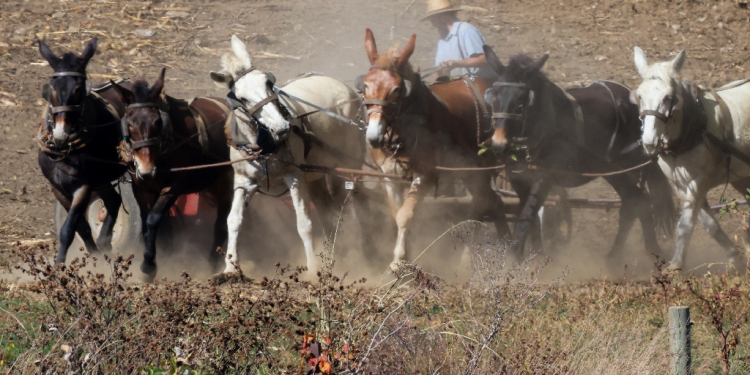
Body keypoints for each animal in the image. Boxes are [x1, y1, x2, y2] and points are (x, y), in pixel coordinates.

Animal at [111, 69, 234, 278]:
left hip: (227, 182)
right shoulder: (141, 189)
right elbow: (146, 223)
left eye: (157, 122)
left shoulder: (174, 186)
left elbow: (153, 219)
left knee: (221, 226)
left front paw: (149, 266)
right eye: (130, 123)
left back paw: (212, 266)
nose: (146, 169)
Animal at [210, 36, 368, 274]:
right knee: (328, 211)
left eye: (268, 83)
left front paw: (311, 269)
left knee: (356, 202)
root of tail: (341, 85)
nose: (282, 127)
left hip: (350, 164)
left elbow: (304, 224)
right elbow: (234, 220)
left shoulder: (295, 176)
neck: (264, 147)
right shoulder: (243, 180)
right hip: (316, 174)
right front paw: (230, 268)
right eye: (242, 98)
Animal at [360, 30, 512, 270]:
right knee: (493, 202)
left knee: (482, 203)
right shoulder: (387, 176)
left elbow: (405, 215)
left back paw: (468, 259)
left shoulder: (426, 174)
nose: (374, 136)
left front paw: (399, 260)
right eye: (365, 86)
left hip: (478, 169)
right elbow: (397, 214)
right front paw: (405, 255)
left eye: (396, 89)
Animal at [636, 47, 750, 274]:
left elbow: (686, 225)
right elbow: (709, 225)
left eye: (667, 97)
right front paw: (737, 261)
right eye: (639, 96)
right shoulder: (681, 185)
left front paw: (675, 267)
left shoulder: (697, 182)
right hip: (741, 177)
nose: (649, 142)